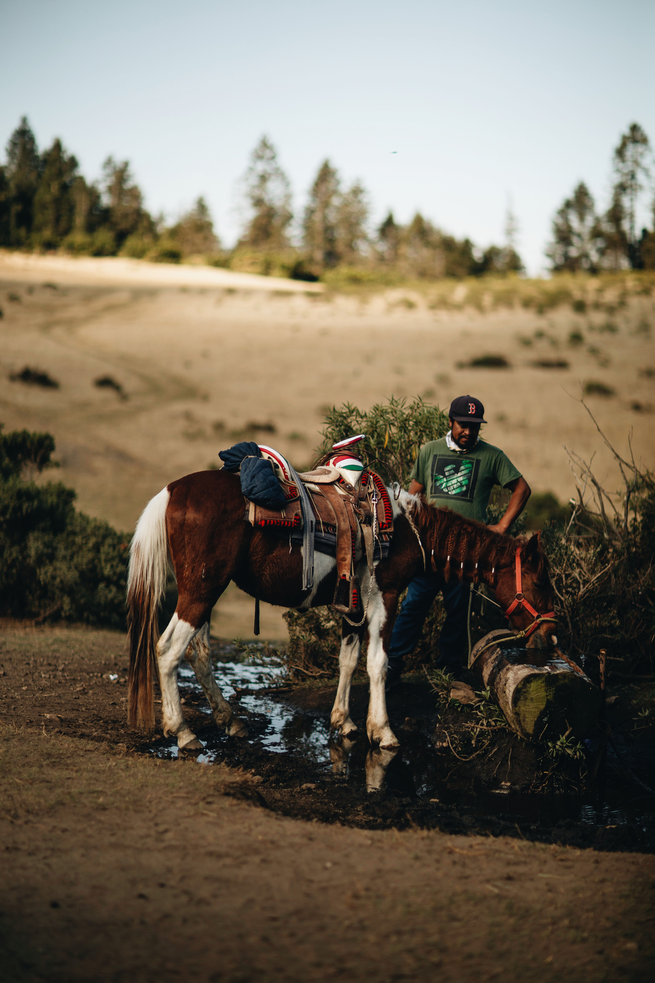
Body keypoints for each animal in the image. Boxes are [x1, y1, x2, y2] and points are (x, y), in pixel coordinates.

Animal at [127, 468, 556, 751]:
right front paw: (382, 731)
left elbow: (348, 661)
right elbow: (378, 663)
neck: (406, 530)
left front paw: (344, 722)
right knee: (168, 650)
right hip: (201, 590)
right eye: (541, 582)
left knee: (198, 651)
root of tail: (172, 491)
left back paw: (230, 721)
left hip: (207, 590)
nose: (549, 635)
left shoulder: (353, 603)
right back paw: (183, 732)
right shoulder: (384, 597)